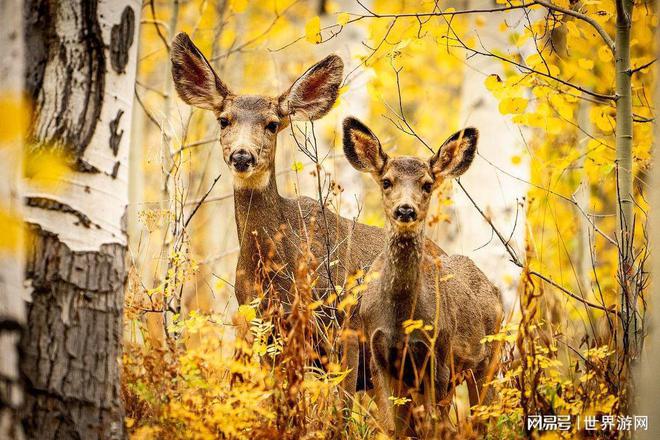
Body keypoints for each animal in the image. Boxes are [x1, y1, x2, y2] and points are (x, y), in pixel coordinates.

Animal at [342, 117, 502, 436]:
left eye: (427, 184)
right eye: (386, 181)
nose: (405, 209)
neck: (402, 318)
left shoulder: (438, 359)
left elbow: (433, 428)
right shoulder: (380, 361)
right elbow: (394, 428)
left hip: (488, 359)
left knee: (483, 419)